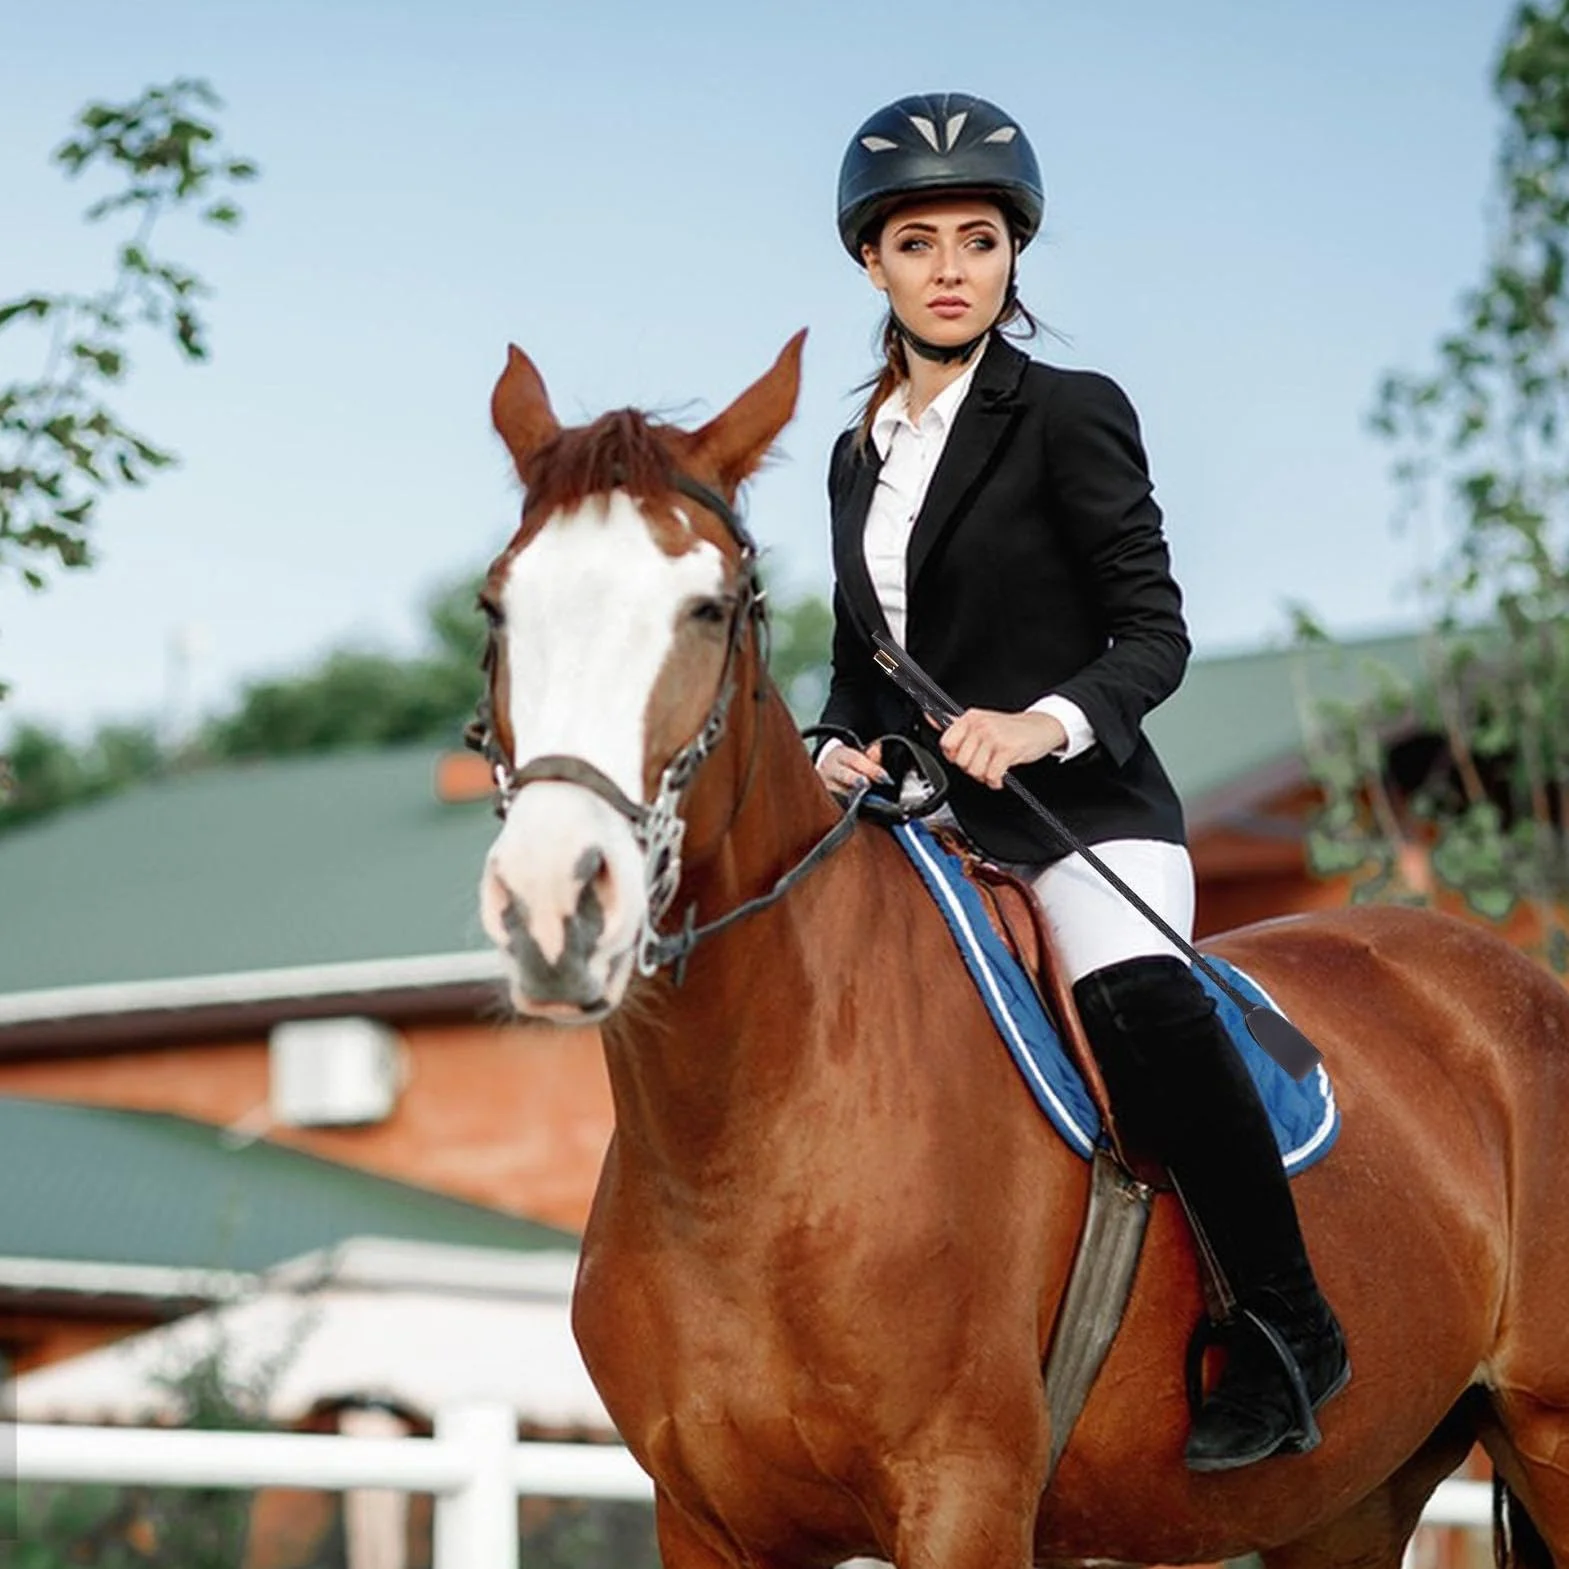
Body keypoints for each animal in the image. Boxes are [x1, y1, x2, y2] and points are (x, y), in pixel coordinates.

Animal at [470, 331, 1569, 1569]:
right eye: (497, 608)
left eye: (709, 609)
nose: (553, 906)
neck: (742, 1139)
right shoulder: (702, 1522)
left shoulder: (963, 1495)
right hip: (1353, 1499)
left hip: (1550, 1435)